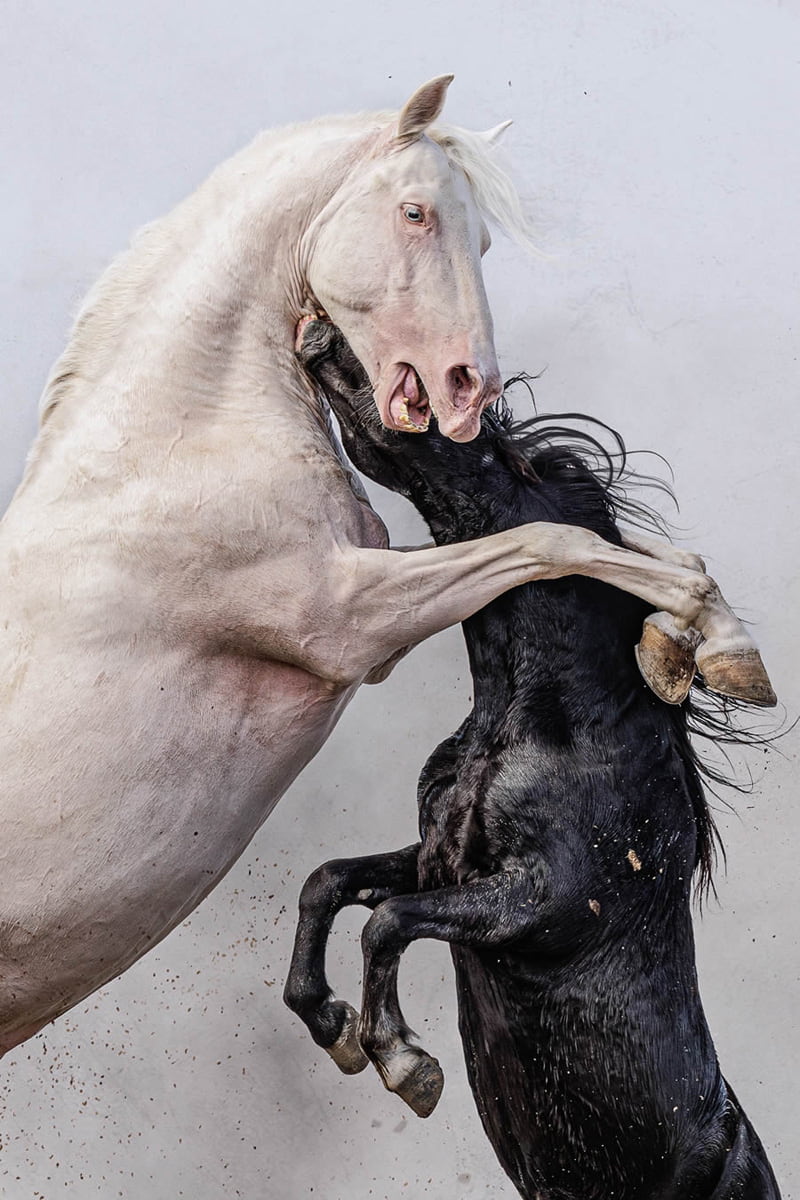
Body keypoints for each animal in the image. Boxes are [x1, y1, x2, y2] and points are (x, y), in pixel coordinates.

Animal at [0, 75, 772, 1059]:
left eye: (484, 238)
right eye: (414, 212)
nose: (469, 390)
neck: (162, 457)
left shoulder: (374, 587)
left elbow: (611, 546)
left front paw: (699, 644)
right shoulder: (347, 621)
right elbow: (554, 544)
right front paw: (716, 642)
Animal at [285, 320, 781, 1199]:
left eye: (482, 440)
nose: (324, 334)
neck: (547, 720)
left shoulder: (543, 902)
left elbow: (386, 921)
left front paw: (404, 1061)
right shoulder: (440, 858)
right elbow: (331, 883)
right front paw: (333, 1025)